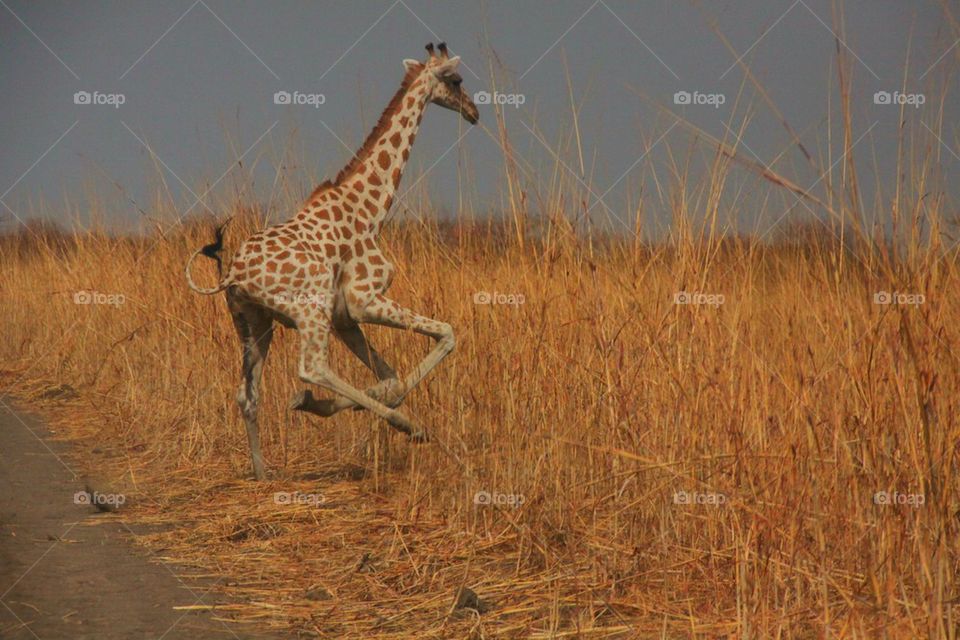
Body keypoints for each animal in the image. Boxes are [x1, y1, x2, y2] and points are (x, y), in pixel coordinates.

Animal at [185, 42, 480, 480]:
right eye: (456, 80)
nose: (474, 112)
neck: (370, 210)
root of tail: (233, 275)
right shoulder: (363, 301)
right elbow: (446, 334)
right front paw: (409, 426)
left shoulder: (344, 318)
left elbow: (391, 380)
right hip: (309, 309)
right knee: (312, 367)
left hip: (253, 322)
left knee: (246, 395)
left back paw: (263, 473)